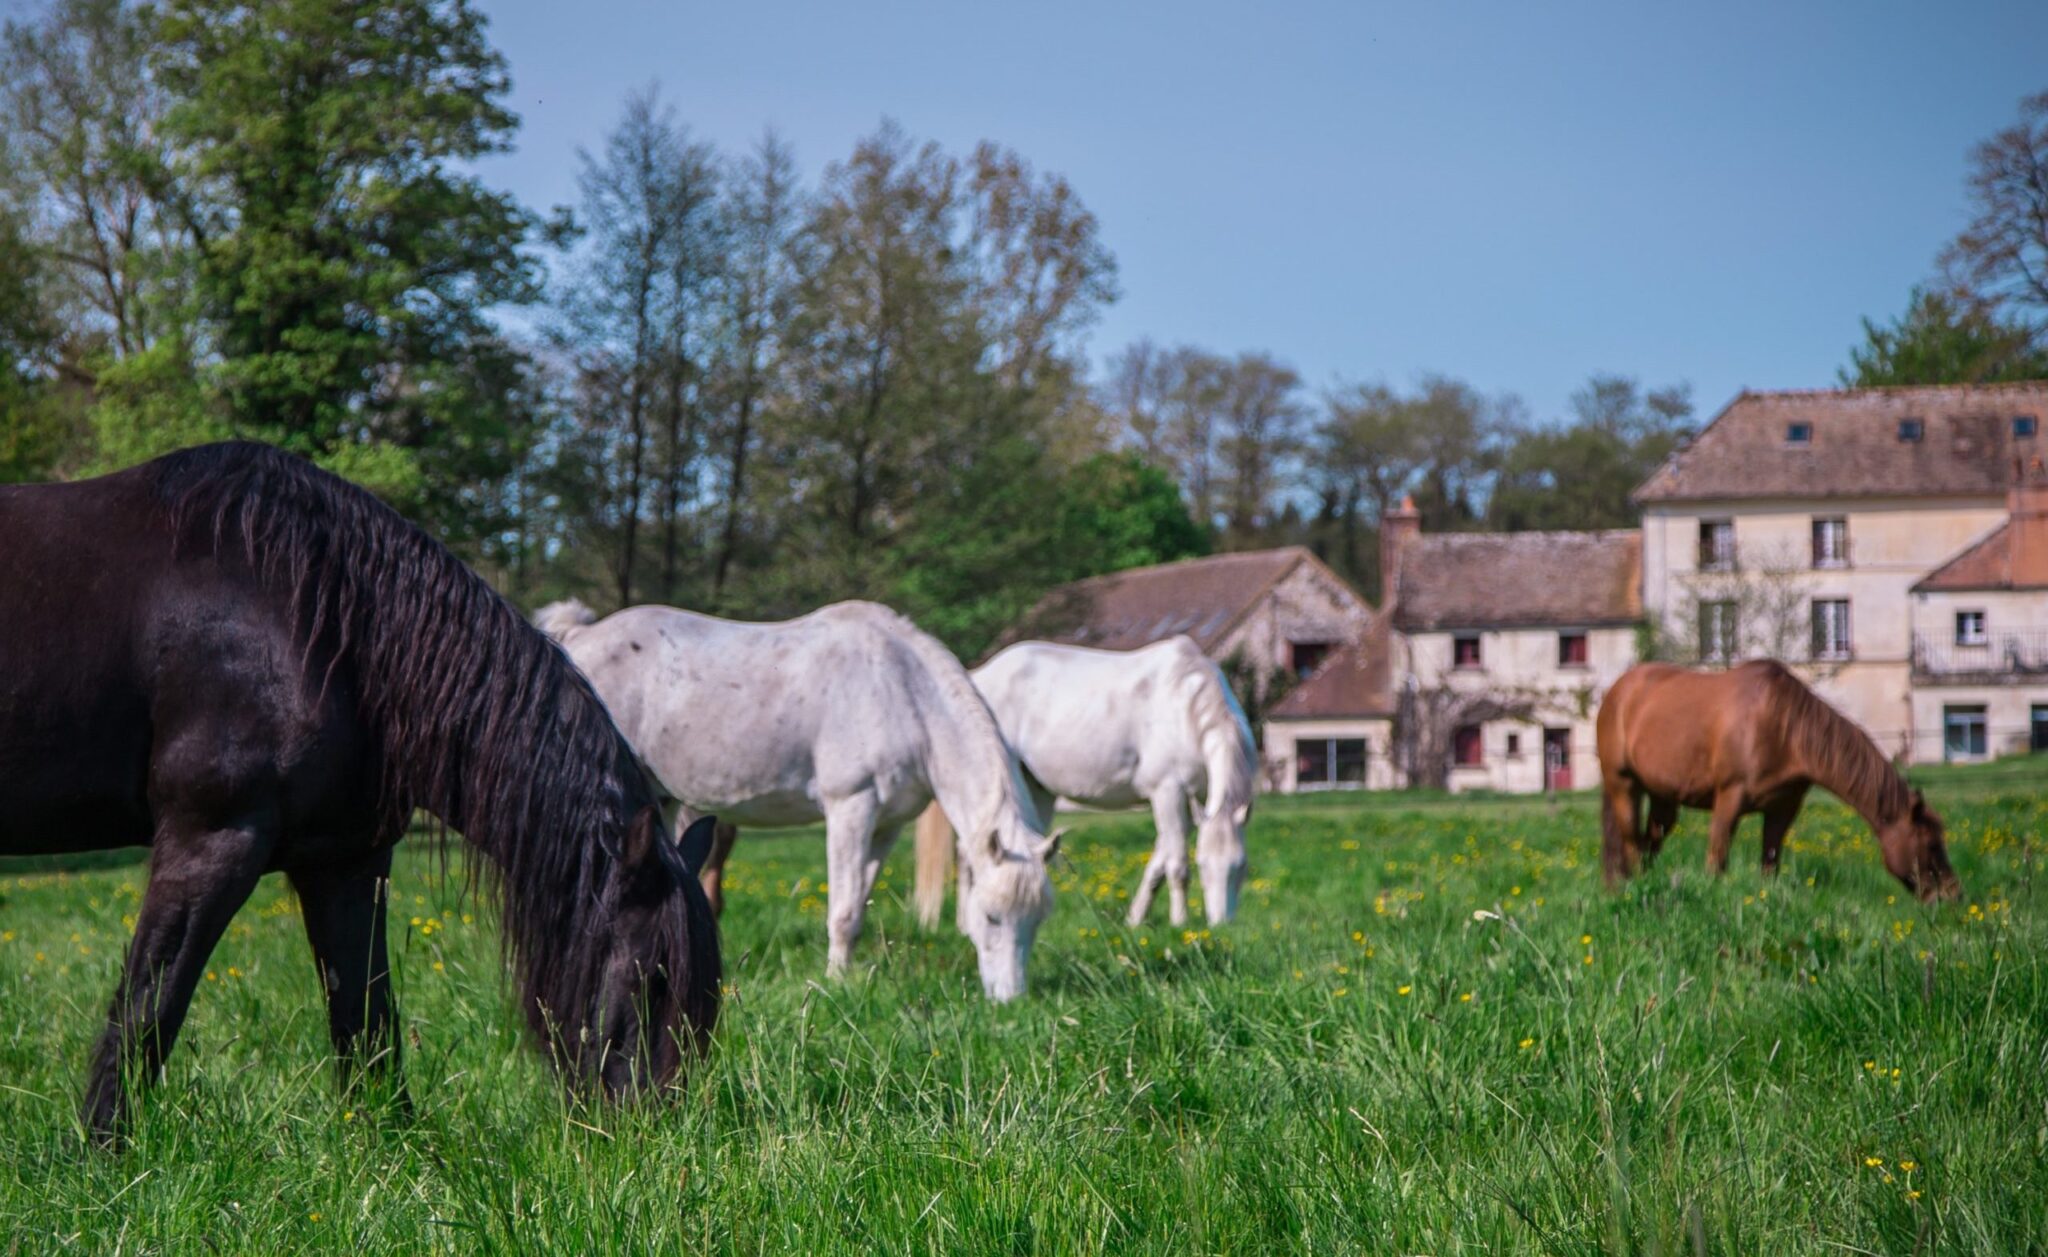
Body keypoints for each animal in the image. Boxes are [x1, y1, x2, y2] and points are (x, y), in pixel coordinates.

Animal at [0, 444, 720, 1146]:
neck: (317, 616)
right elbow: (150, 1003)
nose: (651, 1136)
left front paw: (394, 1146)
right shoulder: (209, 840)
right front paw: (103, 1151)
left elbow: (367, 1017)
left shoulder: (345, 862)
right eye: (652, 976)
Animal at [536, 601, 1064, 1003]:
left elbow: (859, 904)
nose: (1010, 1000)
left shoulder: (885, 825)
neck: (903, 691)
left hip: (658, 798)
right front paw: (835, 982)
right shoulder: (851, 807)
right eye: (991, 916)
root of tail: (577, 636)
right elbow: (844, 912)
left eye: (1038, 920)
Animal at [921, 638, 1253, 925]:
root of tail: (977, 678)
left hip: (1036, 791)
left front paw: (1135, 920)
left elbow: (1158, 863)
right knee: (968, 851)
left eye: (1241, 866)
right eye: (1203, 866)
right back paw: (965, 924)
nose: (1221, 924)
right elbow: (1176, 865)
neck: (1184, 706)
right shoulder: (1167, 793)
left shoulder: (1192, 802)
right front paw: (1179, 922)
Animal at [1589, 659, 1957, 904]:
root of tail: (1618, 691)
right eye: (1930, 844)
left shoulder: (1783, 809)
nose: (1952, 894)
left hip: (1664, 796)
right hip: (1623, 784)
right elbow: (1717, 859)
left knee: (1649, 841)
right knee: (1631, 843)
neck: (1784, 728)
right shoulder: (1729, 799)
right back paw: (1630, 888)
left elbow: (1770, 862)